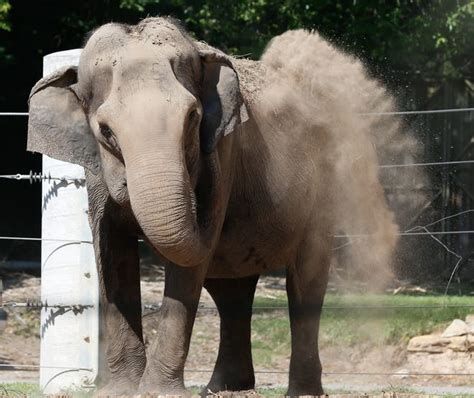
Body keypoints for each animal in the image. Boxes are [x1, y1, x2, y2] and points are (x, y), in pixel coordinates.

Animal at [27, 17, 402, 396]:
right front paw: (119, 391)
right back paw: (227, 387)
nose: (201, 194)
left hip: (322, 195)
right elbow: (111, 251)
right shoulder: (95, 169)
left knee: (305, 283)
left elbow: (186, 269)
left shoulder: (225, 147)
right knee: (230, 290)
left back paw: (300, 390)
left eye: (193, 118)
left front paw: (157, 392)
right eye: (106, 131)